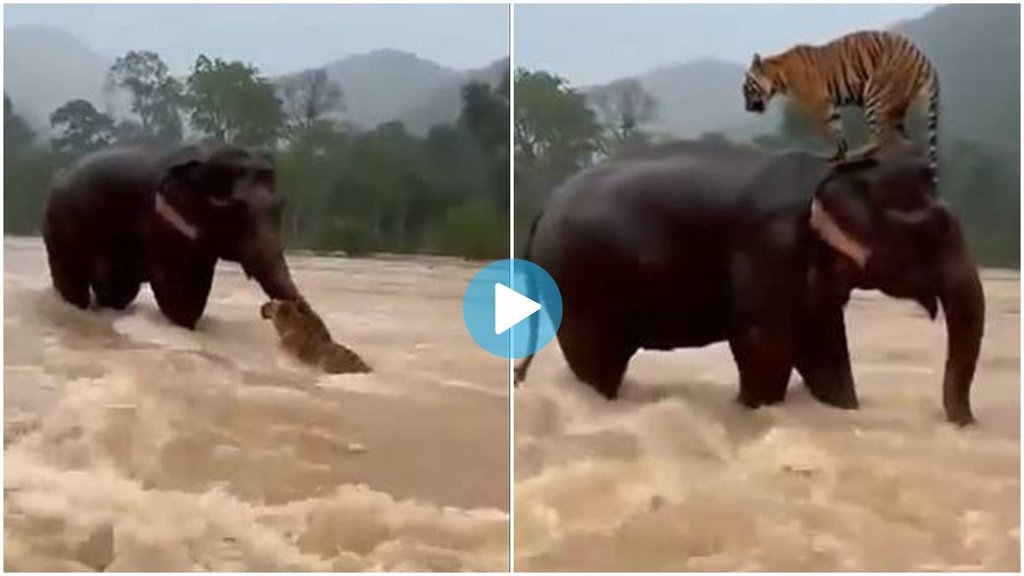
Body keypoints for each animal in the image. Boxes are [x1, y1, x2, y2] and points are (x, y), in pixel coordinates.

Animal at [43, 143, 305, 329]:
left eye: (281, 206)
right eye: (237, 210)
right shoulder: (162, 224)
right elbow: (179, 297)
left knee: (118, 289)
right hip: (60, 228)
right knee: (74, 284)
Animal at [514, 139, 984, 425]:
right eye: (939, 227)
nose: (965, 422)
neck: (839, 170)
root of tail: (544, 207)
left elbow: (825, 348)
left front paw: (843, 409)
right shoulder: (771, 249)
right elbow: (764, 345)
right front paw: (753, 410)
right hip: (579, 284)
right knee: (596, 362)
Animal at [742, 30, 940, 182]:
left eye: (746, 90)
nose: (746, 108)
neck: (778, 78)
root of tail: (920, 55)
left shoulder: (819, 104)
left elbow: (830, 129)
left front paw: (839, 155)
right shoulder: (830, 106)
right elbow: (837, 129)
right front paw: (839, 155)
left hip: (876, 94)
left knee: (881, 136)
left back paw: (859, 153)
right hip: (896, 106)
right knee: (903, 139)